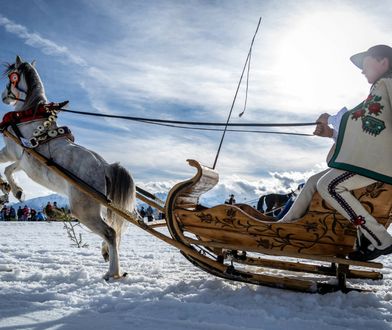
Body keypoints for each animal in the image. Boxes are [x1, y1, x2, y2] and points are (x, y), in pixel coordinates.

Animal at [1, 56, 136, 278]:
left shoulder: (10, 150)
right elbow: (10, 169)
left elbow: (3, 166)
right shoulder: (23, 161)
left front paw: (10, 188)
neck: (29, 115)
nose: (4, 97)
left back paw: (113, 272)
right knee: (112, 232)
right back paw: (106, 254)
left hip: (84, 210)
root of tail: (105, 167)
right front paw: (16, 190)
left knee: (110, 232)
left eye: (10, 78)